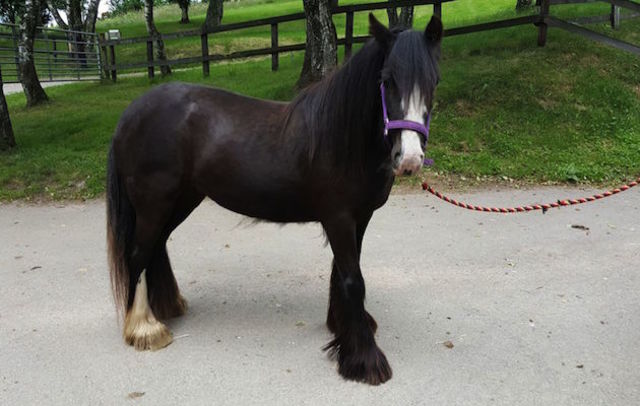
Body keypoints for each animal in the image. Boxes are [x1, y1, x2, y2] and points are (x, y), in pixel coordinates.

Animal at [106, 14, 442, 385]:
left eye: (434, 81)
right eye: (387, 80)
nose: (409, 159)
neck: (342, 139)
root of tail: (130, 114)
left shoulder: (360, 218)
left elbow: (340, 273)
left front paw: (341, 329)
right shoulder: (339, 218)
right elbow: (353, 280)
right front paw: (365, 360)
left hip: (181, 200)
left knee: (156, 247)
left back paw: (166, 308)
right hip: (154, 203)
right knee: (138, 254)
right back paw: (145, 328)